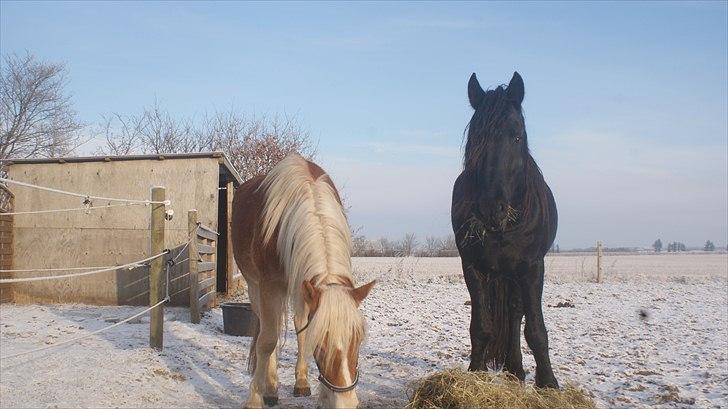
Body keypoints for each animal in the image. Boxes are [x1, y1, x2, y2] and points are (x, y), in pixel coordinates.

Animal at [232, 154, 376, 408]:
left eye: (358, 340)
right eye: (321, 344)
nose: (346, 403)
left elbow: (303, 330)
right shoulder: (269, 286)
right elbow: (267, 341)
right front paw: (255, 399)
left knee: (298, 325)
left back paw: (300, 382)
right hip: (254, 287)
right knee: (267, 331)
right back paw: (271, 388)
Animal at [452, 71, 560, 388]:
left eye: (517, 136)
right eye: (475, 139)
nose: (492, 208)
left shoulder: (533, 266)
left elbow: (535, 329)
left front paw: (548, 383)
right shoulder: (472, 266)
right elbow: (481, 326)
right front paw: (475, 372)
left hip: (516, 274)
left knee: (515, 313)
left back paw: (516, 368)